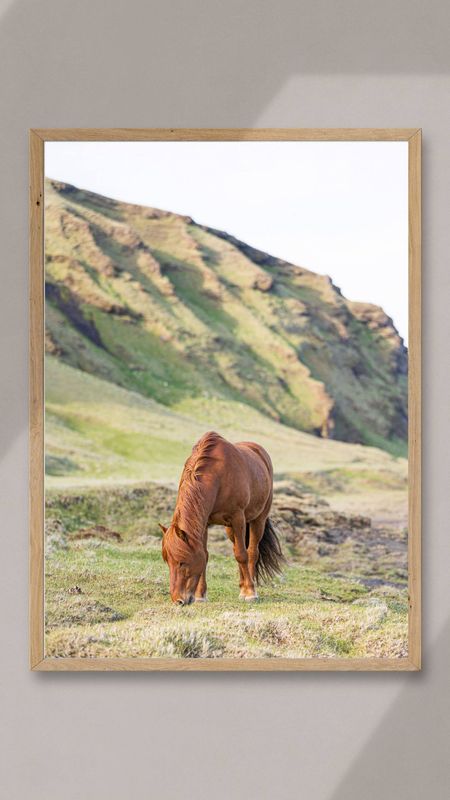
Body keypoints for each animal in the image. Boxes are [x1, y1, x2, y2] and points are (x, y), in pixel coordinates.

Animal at [160, 431, 284, 605]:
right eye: (167, 562)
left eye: (182, 562)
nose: (178, 600)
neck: (217, 476)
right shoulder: (204, 523)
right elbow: (205, 555)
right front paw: (200, 595)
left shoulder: (238, 518)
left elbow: (242, 555)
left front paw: (250, 592)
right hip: (229, 529)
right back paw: (242, 585)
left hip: (257, 520)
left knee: (252, 552)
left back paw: (249, 588)